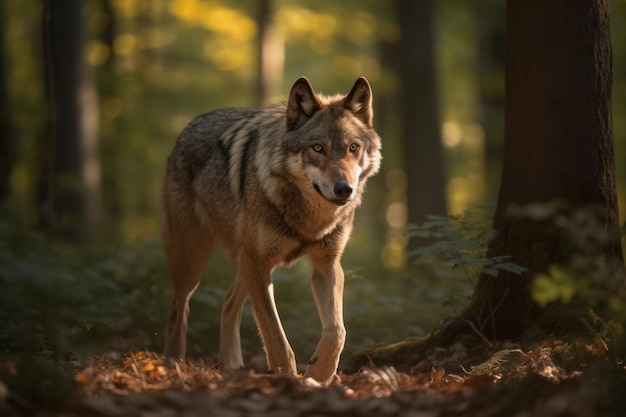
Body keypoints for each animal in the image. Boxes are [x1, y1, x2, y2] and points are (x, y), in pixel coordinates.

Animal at [161, 75, 380, 384]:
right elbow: (275, 334)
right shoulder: (258, 262)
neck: (310, 218)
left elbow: (337, 331)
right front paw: (287, 376)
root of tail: (190, 125)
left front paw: (319, 373)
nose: (344, 189)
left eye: (353, 148)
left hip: (249, 264)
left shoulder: (326, 265)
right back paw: (173, 363)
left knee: (228, 303)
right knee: (178, 308)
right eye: (317, 148)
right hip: (196, 261)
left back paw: (230, 365)